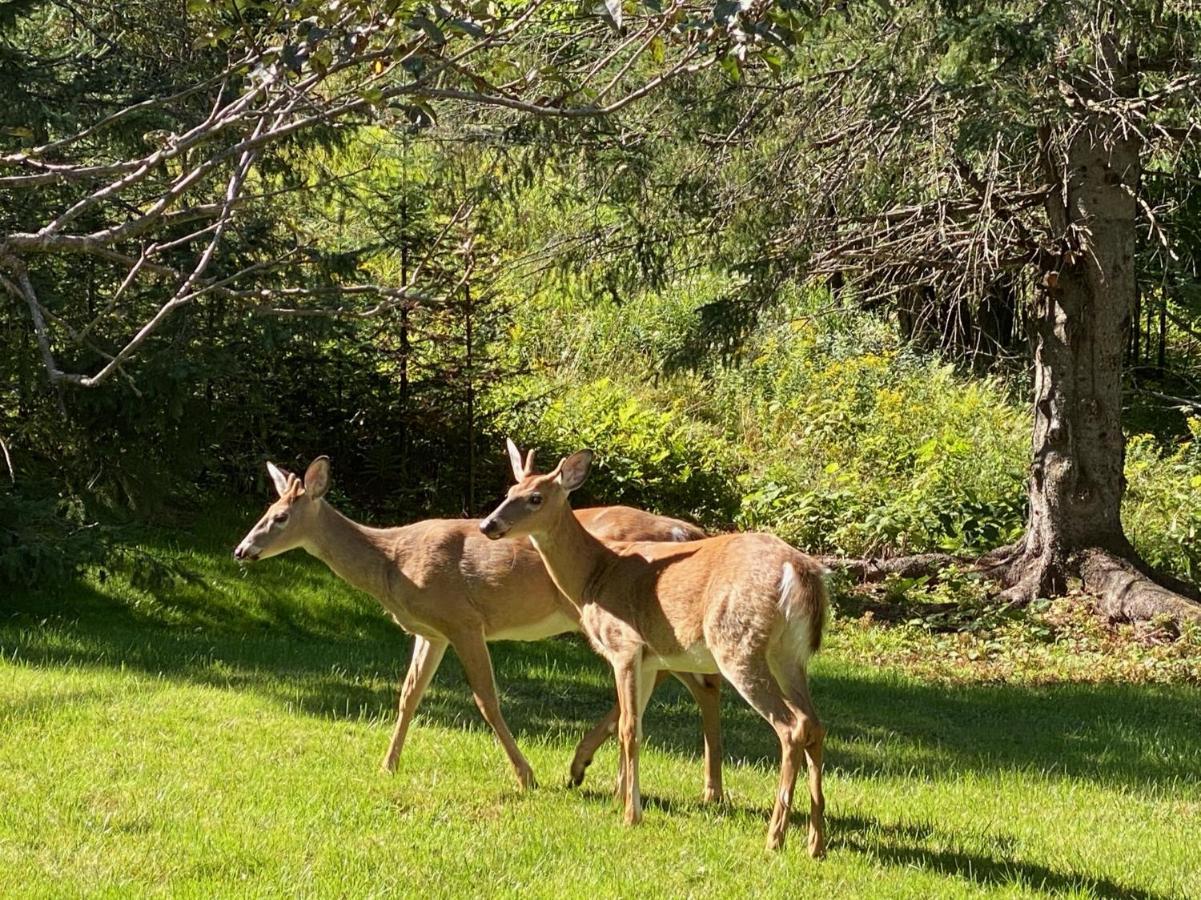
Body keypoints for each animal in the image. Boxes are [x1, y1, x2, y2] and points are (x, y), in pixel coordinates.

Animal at [234, 451, 720, 797]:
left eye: (280, 517)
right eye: (265, 509)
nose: (242, 550)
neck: (393, 560)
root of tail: (688, 532)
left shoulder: (463, 619)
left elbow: (486, 699)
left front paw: (526, 777)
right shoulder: (431, 631)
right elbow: (408, 695)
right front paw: (388, 764)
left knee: (689, 682)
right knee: (691, 684)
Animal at [477, 446, 826, 855]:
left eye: (535, 498)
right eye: (509, 490)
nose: (488, 525)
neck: (595, 573)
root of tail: (799, 571)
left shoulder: (624, 645)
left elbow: (630, 728)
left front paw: (631, 814)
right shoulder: (646, 658)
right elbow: (631, 723)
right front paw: (621, 798)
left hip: (737, 644)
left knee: (790, 726)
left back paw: (775, 837)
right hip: (790, 654)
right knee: (815, 724)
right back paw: (815, 842)